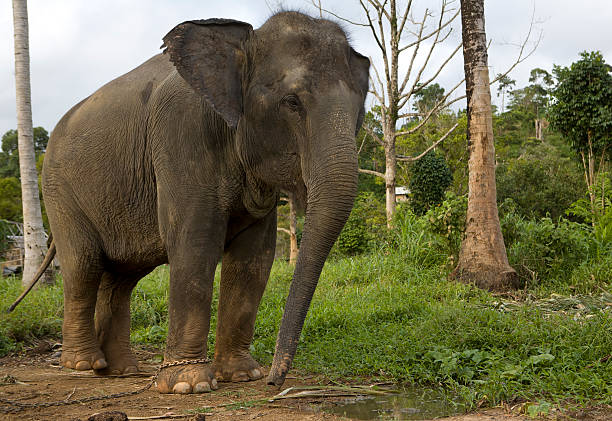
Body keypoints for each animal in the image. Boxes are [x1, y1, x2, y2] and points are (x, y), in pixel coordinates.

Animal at [35, 12, 368, 394]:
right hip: (59, 192)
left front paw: (241, 375)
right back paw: (82, 365)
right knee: (84, 265)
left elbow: (255, 258)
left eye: (359, 112)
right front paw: (188, 385)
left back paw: (121, 370)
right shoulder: (181, 133)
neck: (245, 39)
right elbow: (196, 243)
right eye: (292, 102)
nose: (274, 381)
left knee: (122, 277)